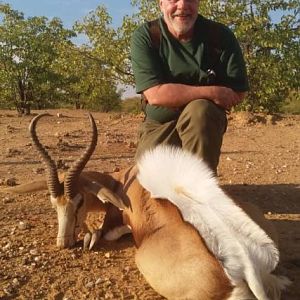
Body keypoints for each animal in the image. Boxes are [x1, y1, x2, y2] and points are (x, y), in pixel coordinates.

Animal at [2, 113, 288, 298]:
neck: (124, 180)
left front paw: (89, 237)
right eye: (54, 203)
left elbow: (104, 232)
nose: (64, 242)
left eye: (79, 201)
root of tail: (245, 262)